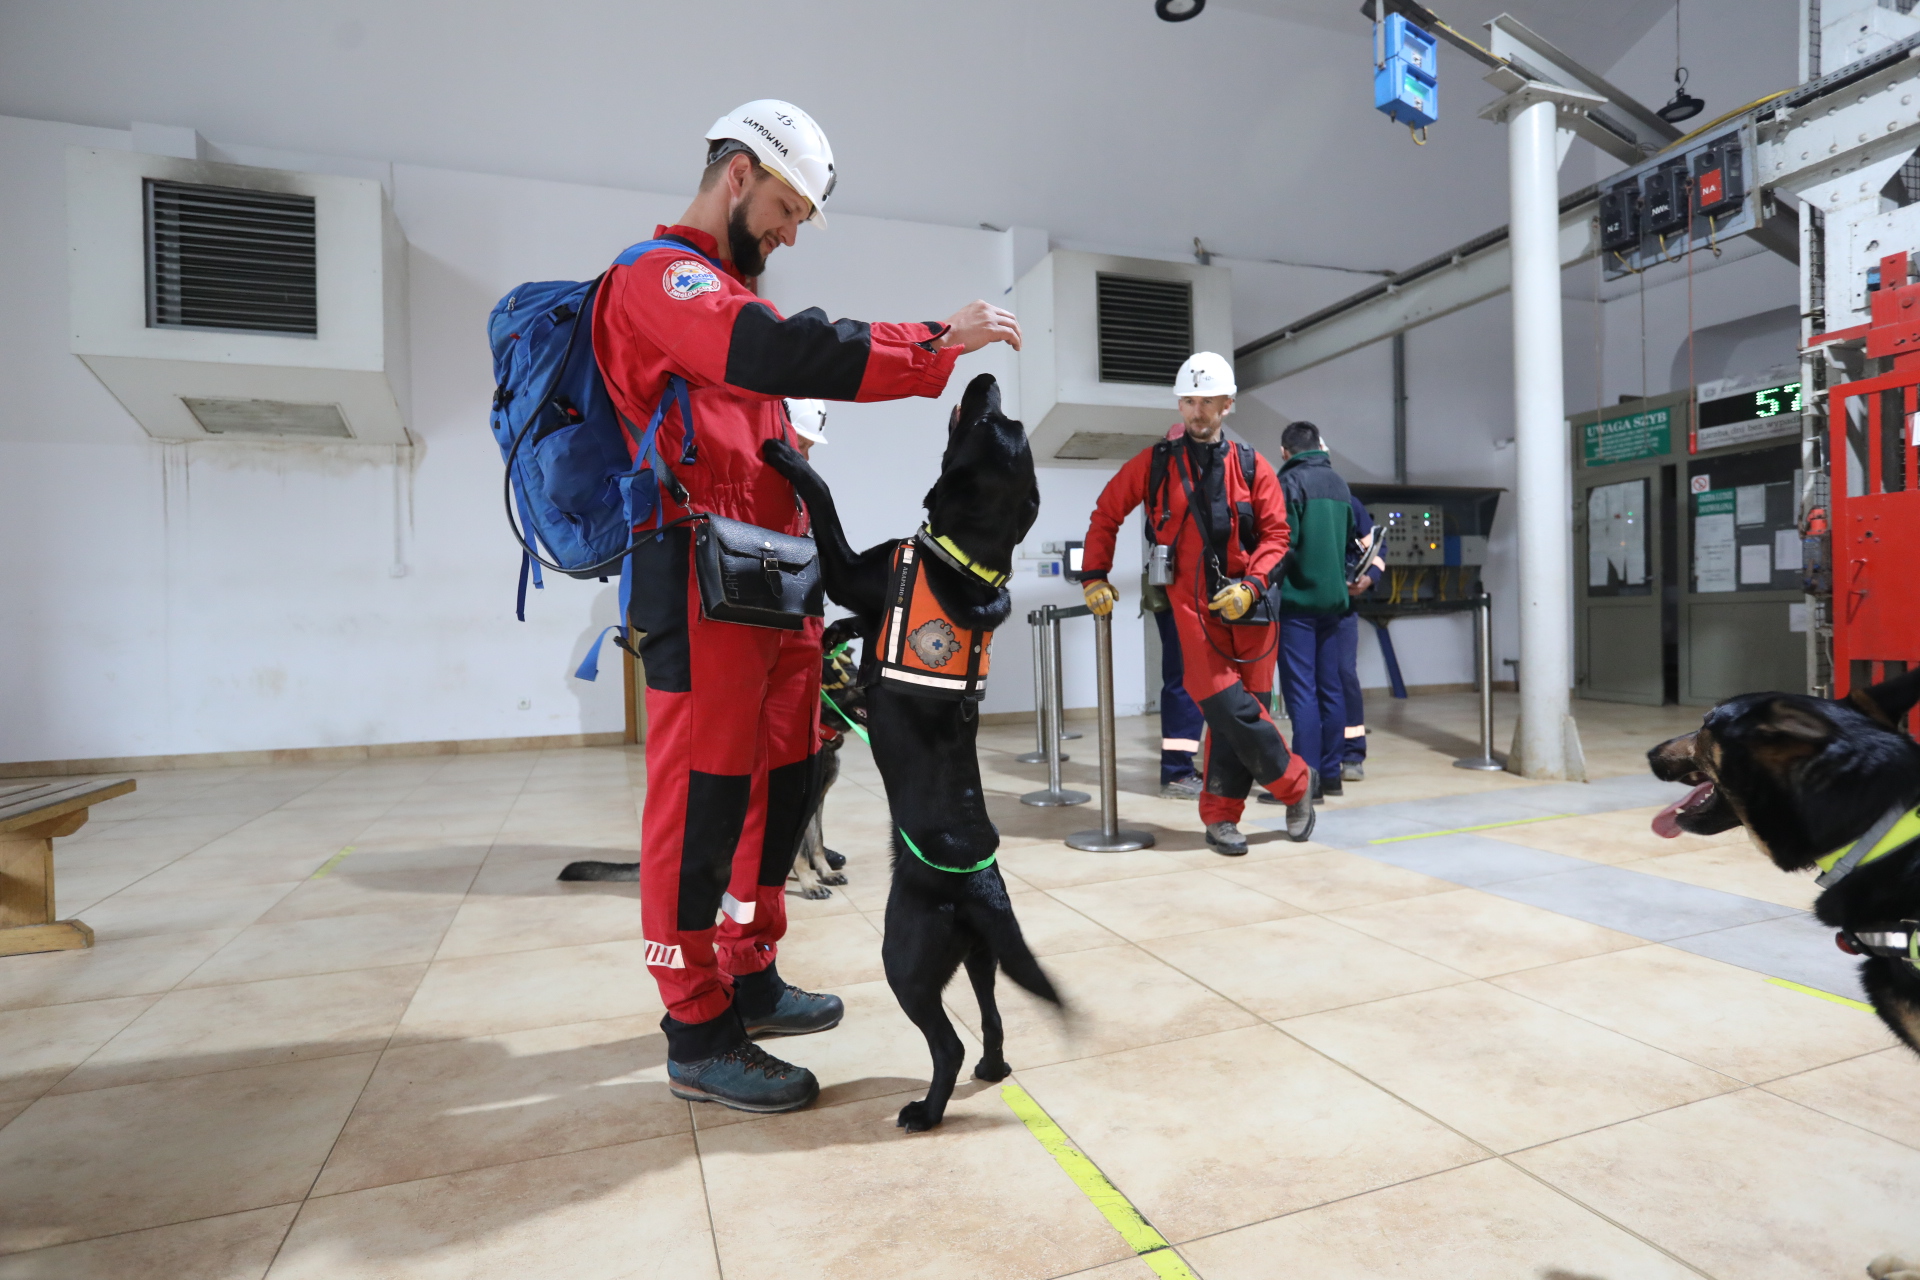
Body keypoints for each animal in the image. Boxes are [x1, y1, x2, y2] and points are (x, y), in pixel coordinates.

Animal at [760, 370, 1067, 1128]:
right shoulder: (867, 600)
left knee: (947, 1044)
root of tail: (979, 885)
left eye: (989, 424)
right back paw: (991, 1068)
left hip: (906, 957)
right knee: (992, 1021)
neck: (969, 560)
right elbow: (852, 622)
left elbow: (824, 506)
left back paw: (926, 1111)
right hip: (980, 957)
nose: (984, 376)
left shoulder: (852, 569)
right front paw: (835, 637)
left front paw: (788, 458)